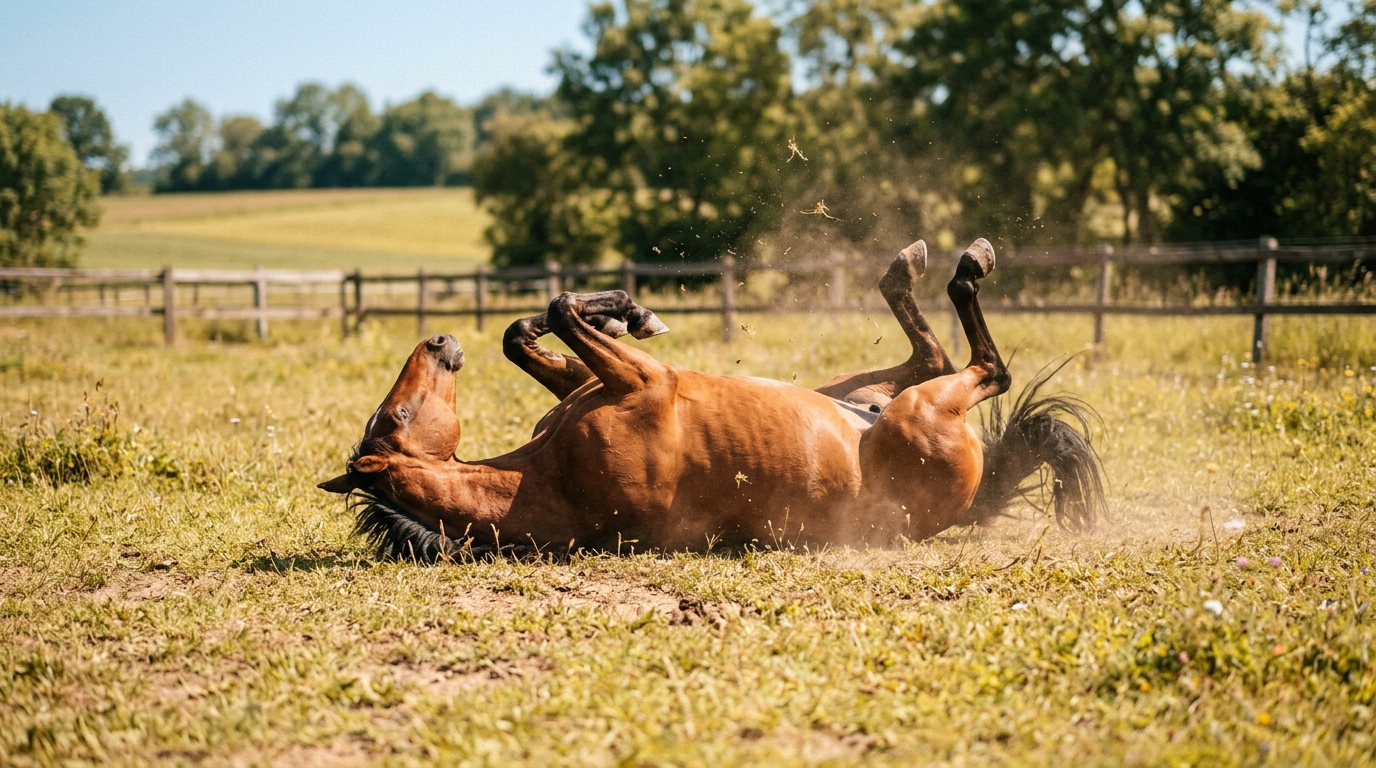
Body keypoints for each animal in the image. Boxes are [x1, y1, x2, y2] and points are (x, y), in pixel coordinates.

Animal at [319, 238, 1105, 560]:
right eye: (396, 416)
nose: (440, 341)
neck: (540, 478)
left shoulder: (591, 386)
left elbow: (530, 327)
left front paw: (624, 311)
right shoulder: (646, 382)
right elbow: (563, 305)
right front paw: (624, 308)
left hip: (863, 390)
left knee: (932, 350)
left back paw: (906, 263)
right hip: (925, 410)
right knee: (983, 365)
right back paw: (967, 262)